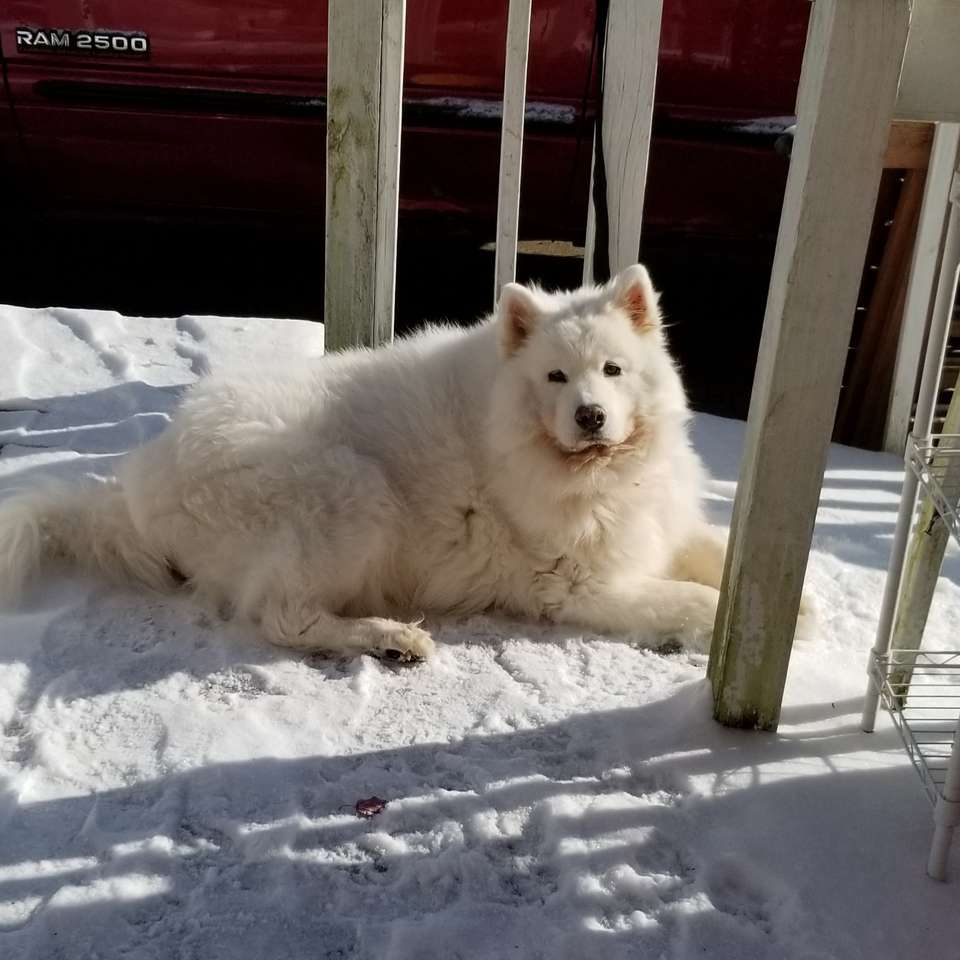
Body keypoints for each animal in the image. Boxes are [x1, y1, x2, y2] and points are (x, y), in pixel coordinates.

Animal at [0, 266, 728, 664]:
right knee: (282, 616)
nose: (590, 416)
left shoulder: (661, 523)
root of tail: (142, 486)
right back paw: (392, 639)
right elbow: (695, 600)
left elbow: (715, 552)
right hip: (352, 490)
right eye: (555, 377)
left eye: (612, 370)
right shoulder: (577, 585)